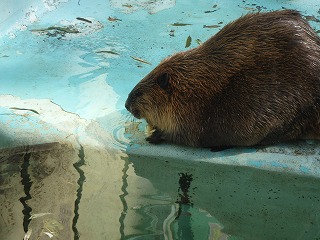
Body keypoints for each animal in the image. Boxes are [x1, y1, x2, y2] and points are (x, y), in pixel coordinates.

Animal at [124, 10, 320, 149]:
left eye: (138, 93)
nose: (126, 105)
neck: (192, 87)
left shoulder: (190, 118)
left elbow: (183, 136)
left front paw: (153, 135)